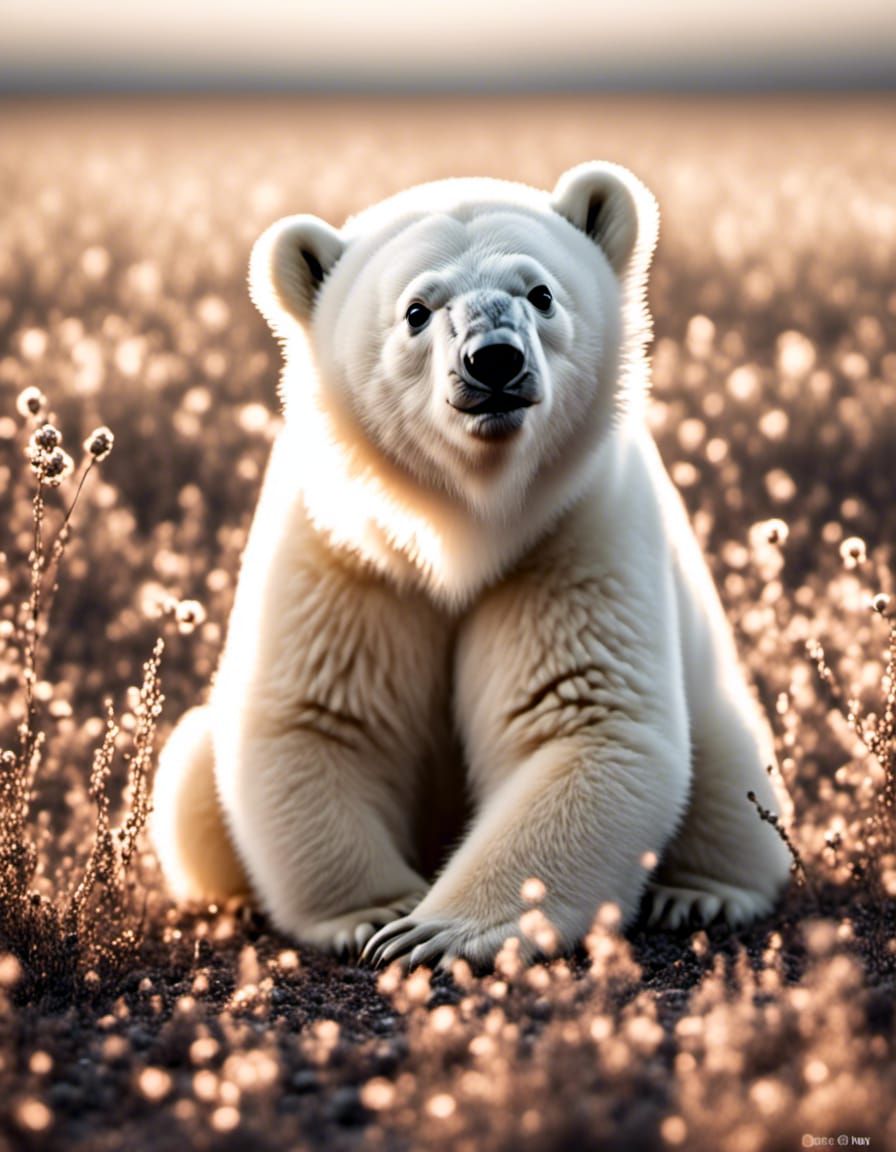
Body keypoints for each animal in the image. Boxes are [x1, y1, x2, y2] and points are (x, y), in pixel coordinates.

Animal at [150, 161, 792, 969]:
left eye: (540, 291)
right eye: (417, 309)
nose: (494, 361)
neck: (465, 529)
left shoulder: (573, 531)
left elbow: (585, 720)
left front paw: (435, 932)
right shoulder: (345, 548)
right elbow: (317, 718)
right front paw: (375, 912)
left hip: (719, 712)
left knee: (734, 777)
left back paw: (698, 894)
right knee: (188, 780)